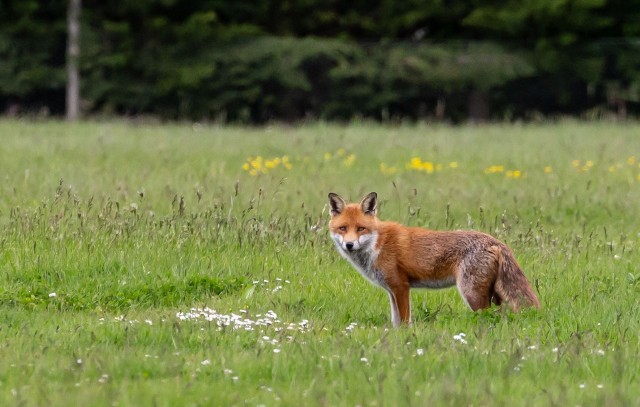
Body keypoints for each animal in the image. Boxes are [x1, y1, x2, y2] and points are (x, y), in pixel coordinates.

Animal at [328, 192, 544, 328]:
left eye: (361, 228)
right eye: (343, 228)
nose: (349, 245)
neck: (377, 244)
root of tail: (495, 241)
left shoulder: (401, 287)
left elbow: (404, 321)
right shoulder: (391, 290)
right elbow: (395, 321)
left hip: (472, 294)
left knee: (488, 317)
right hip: (493, 295)